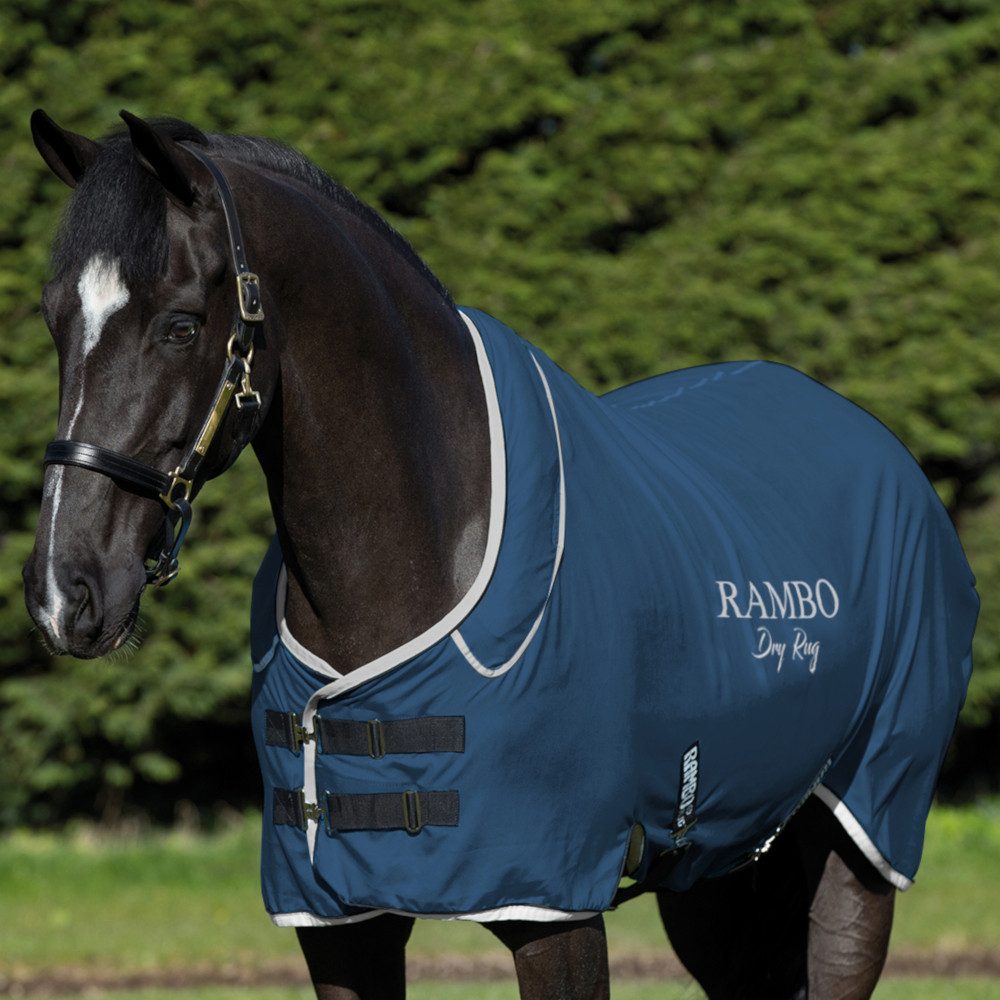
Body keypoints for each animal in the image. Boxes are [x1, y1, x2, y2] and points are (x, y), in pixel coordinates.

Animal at [23, 111, 978, 1000]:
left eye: (181, 326)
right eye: (54, 318)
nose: (64, 593)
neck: (418, 548)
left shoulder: (552, 906)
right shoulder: (338, 922)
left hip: (861, 836)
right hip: (722, 869)